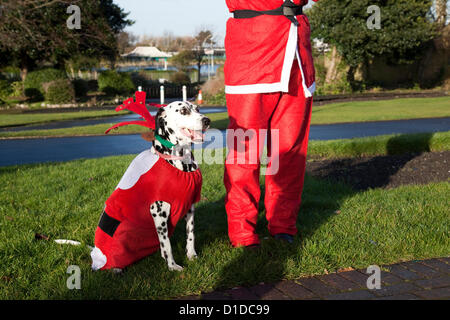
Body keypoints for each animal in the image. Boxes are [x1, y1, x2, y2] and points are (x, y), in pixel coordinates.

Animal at [92, 102, 213, 272]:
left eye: (198, 109)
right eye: (183, 111)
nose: (207, 121)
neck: (179, 162)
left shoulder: (190, 207)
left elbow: (190, 235)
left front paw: (191, 255)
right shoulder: (158, 212)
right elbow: (167, 245)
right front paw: (172, 266)